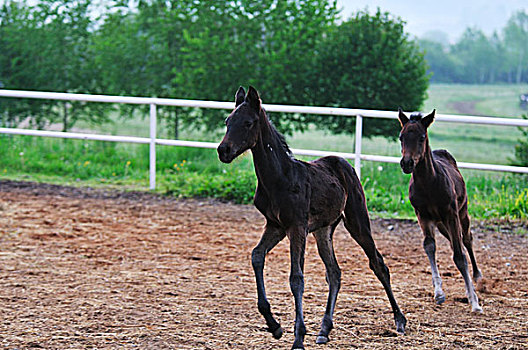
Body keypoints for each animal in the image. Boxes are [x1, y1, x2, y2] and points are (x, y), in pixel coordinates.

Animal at [400, 108, 482, 312]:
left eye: (422, 137)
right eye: (401, 137)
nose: (407, 163)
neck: (428, 183)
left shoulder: (451, 215)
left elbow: (459, 255)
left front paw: (474, 302)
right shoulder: (423, 216)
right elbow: (430, 246)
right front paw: (438, 293)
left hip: (461, 215)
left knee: (466, 240)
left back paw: (478, 277)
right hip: (441, 224)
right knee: (455, 241)